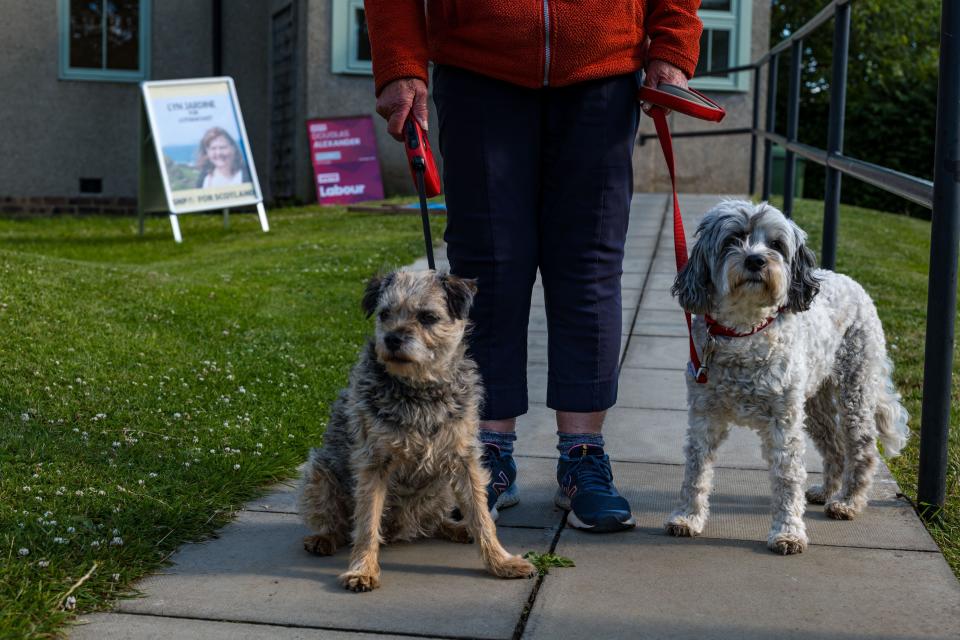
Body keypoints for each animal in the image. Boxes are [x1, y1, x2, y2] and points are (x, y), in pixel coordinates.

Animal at [298, 268, 536, 592]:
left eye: (427, 317)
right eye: (384, 314)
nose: (392, 338)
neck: (420, 389)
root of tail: (398, 531)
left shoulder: (464, 460)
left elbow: (481, 515)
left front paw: (501, 561)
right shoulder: (373, 463)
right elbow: (366, 523)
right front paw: (362, 569)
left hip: (441, 489)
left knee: (434, 523)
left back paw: (457, 528)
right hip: (319, 471)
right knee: (340, 522)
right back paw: (324, 537)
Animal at [664, 201, 912, 556]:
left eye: (776, 244)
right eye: (733, 239)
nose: (755, 260)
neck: (745, 331)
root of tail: (850, 280)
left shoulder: (783, 422)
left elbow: (787, 478)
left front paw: (788, 532)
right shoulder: (704, 414)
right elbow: (696, 470)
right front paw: (687, 517)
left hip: (855, 390)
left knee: (863, 447)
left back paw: (848, 502)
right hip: (815, 404)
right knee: (835, 446)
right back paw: (826, 491)